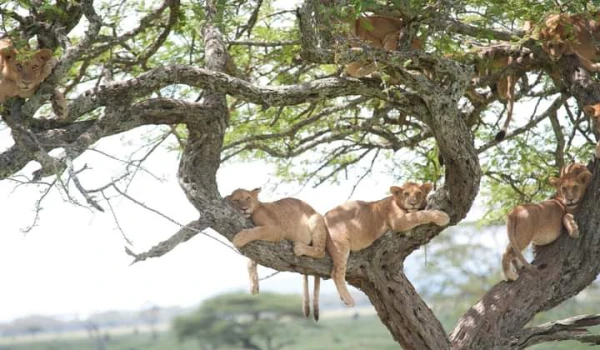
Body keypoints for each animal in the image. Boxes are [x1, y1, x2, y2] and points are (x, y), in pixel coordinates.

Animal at [226, 187, 328, 322]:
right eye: (236, 200)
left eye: (248, 198)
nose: (244, 209)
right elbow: (250, 262)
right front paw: (253, 286)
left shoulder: (276, 229)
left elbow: (257, 231)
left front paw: (240, 238)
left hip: (316, 220)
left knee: (320, 251)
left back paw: (299, 248)